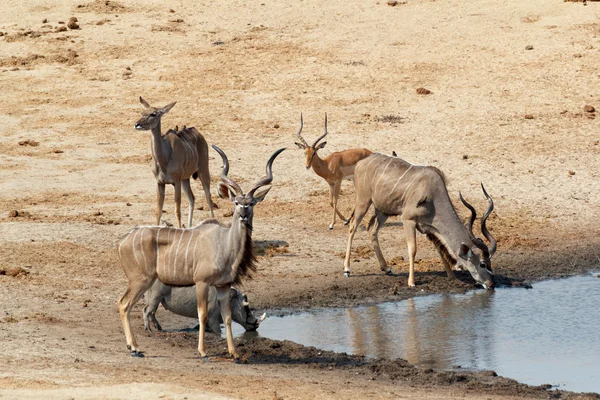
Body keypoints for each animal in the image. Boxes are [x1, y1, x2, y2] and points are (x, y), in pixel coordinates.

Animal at [118, 145, 288, 360]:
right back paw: (135, 348)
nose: (243, 215)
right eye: (236, 202)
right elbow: (202, 314)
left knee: (123, 303)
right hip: (140, 280)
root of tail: (123, 240)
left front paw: (235, 353)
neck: (224, 243)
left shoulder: (223, 286)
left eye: (251, 203)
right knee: (124, 305)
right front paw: (203, 352)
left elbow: (227, 317)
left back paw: (133, 346)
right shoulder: (202, 282)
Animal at [135, 96, 214, 228]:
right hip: (185, 179)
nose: (137, 124)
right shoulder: (160, 183)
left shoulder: (176, 181)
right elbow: (158, 211)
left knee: (208, 197)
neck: (163, 160)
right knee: (192, 198)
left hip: (203, 170)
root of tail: (198, 133)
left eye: (153, 114)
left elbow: (177, 210)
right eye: (142, 113)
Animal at [342, 152, 496, 288]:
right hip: (363, 201)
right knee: (352, 227)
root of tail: (361, 163)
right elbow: (413, 249)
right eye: (482, 263)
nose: (491, 284)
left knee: (372, 230)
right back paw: (347, 269)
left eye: (490, 262)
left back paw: (386, 268)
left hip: (383, 211)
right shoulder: (408, 220)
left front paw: (451, 276)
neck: (434, 195)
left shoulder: (429, 229)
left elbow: (440, 249)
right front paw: (411, 282)